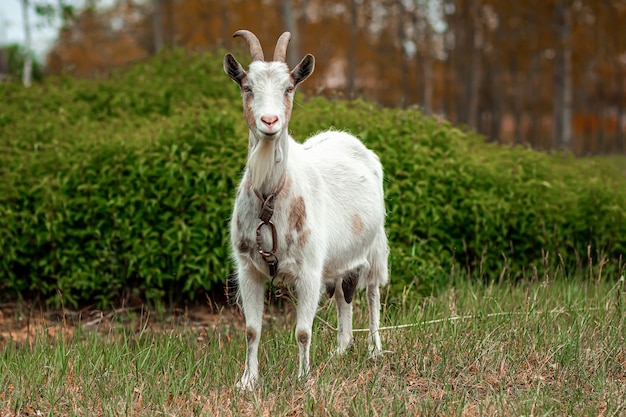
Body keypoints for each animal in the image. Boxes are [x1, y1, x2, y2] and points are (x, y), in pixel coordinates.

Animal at [224, 30, 388, 390]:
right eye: (247, 87)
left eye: (289, 87)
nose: (269, 121)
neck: (270, 199)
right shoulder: (248, 268)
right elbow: (251, 330)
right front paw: (247, 381)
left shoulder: (310, 269)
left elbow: (302, 332)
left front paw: (303, 378)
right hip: (339, 260)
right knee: (344, 296)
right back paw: (341, 349)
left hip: (375, 248)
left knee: (372, 294)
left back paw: (375, 349)